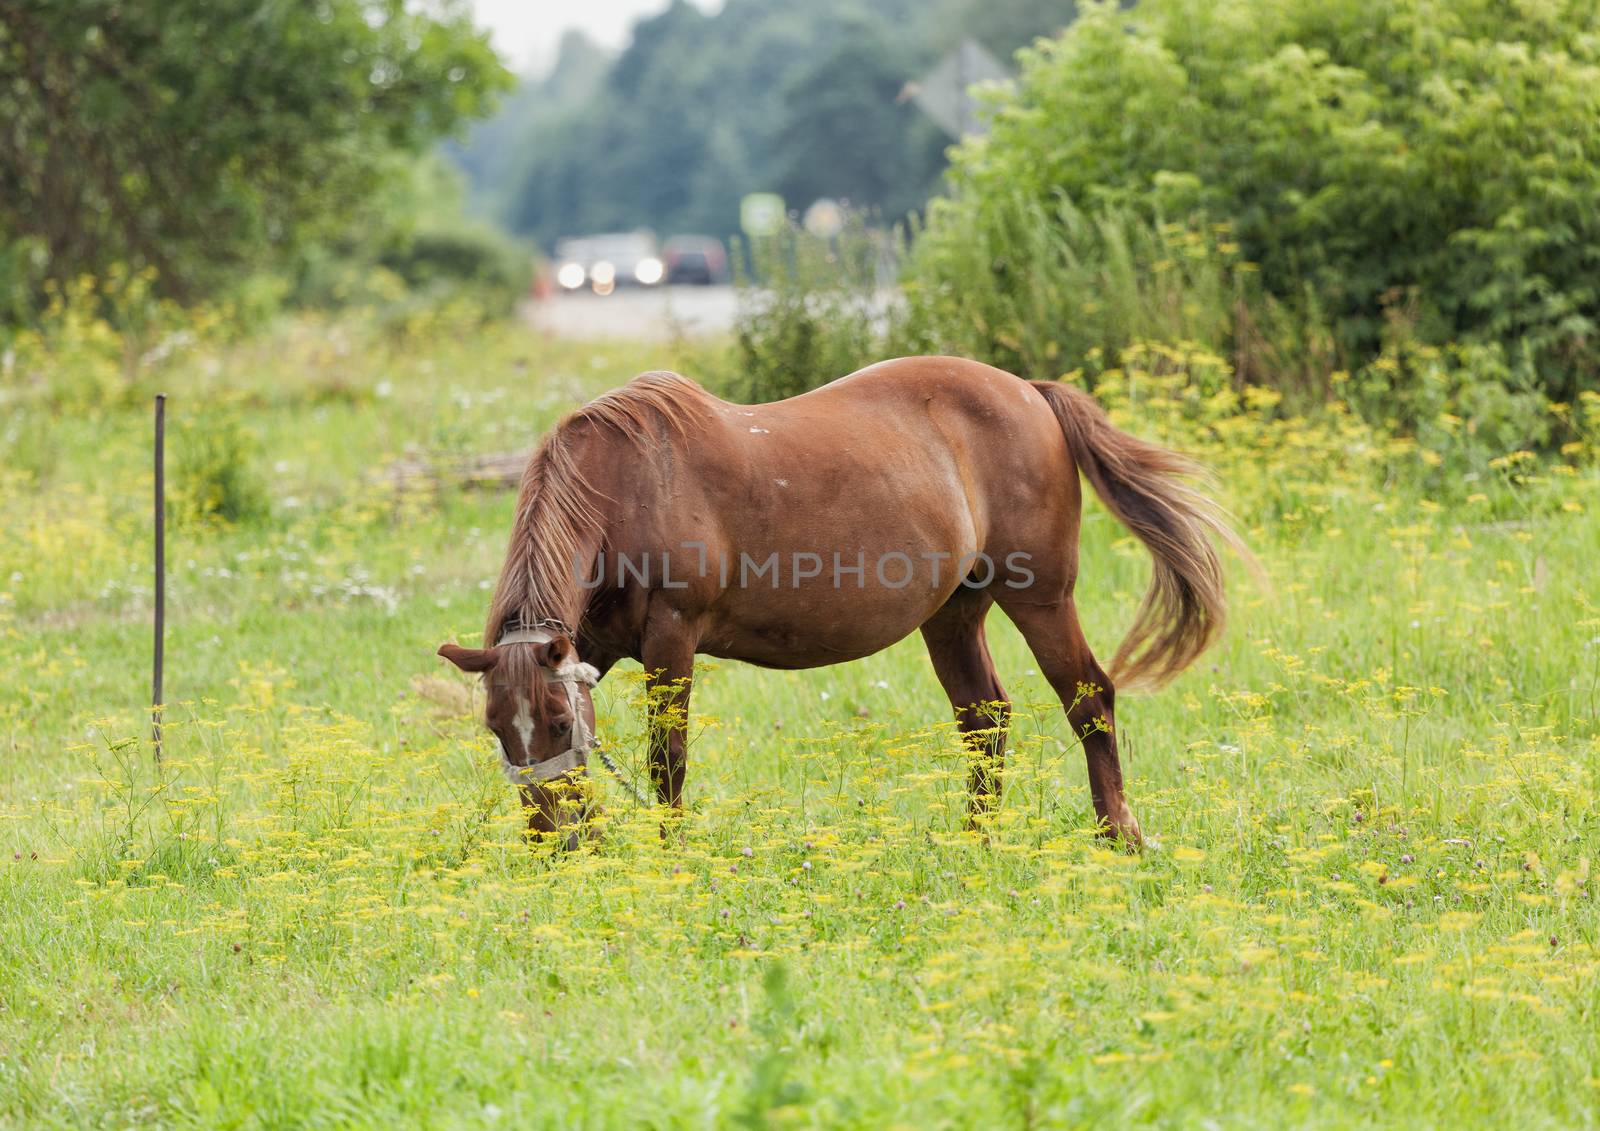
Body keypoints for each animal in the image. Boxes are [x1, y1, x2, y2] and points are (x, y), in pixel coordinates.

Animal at [441, 358, 1248, 844]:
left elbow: (667, 759)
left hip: (1042, 597)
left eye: (555, 721)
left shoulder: (672, 639)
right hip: (953, 613)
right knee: (985, 720)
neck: (624, 487)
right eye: (496, 727)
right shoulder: (595, 644)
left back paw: (1118, 835)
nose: (554, 841)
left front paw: (673, 855)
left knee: (1089, 698)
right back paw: (977, 839)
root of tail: (1030, 392)